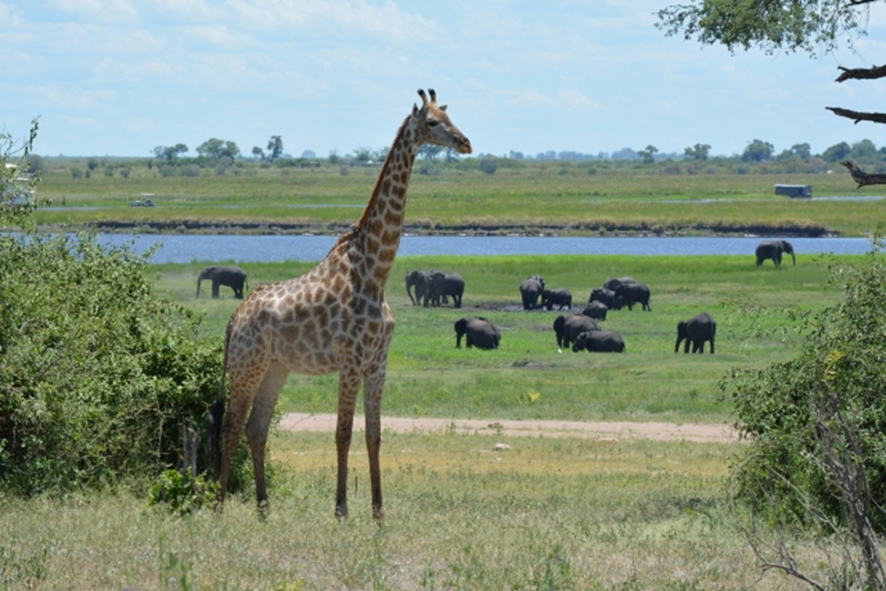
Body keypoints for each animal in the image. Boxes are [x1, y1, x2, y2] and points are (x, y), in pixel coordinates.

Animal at [217, 89, 472, 524]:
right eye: (432, 122)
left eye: (450, 116)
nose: (465, 142)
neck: (376, 271)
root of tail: (234, 319)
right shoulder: (350, 360)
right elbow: (342, 433)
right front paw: (341, 510)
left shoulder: (378, 363)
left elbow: (374, 435)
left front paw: (379, 513)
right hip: (246, 365)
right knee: (231, 426)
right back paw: (214, 504)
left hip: (275, 367)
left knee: (256, 428)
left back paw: (264, 509)